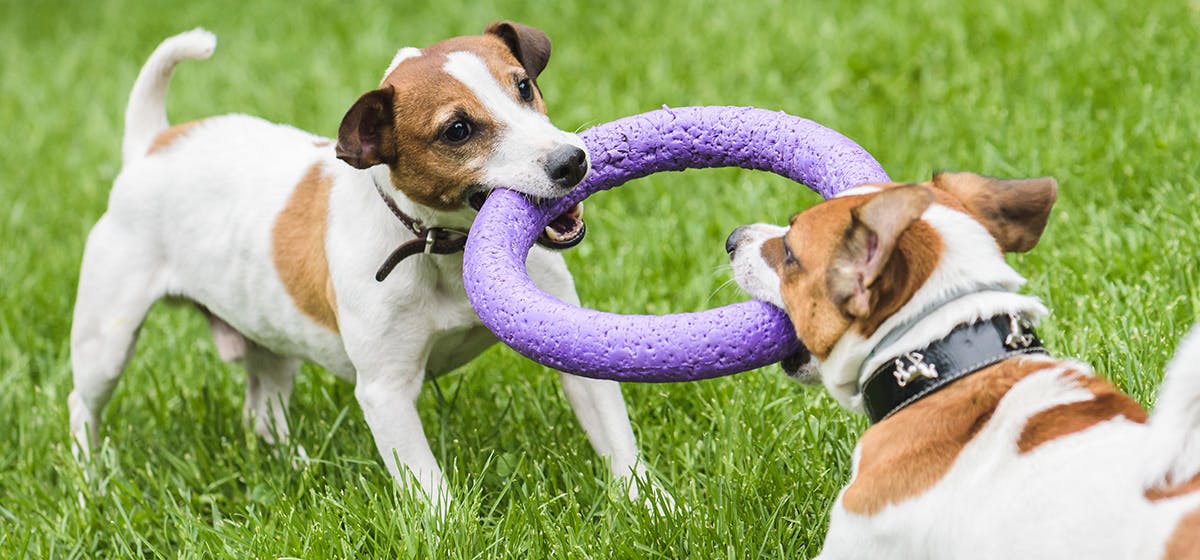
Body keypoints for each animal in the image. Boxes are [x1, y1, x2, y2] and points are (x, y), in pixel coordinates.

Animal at [68, 23, 667, 513]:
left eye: (523, 87)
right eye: (456, 130)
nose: (573, 161)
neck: (440, 249)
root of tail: (153, 144)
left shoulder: (568, 344)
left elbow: (615, 436)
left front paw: (653, 504)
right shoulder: (386, 392)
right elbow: (426, 484)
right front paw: (451, 531)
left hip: (271, 339)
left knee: (262, 407)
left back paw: (298, 464)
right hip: (107, 339)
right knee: (83, 403)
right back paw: (90, 479)